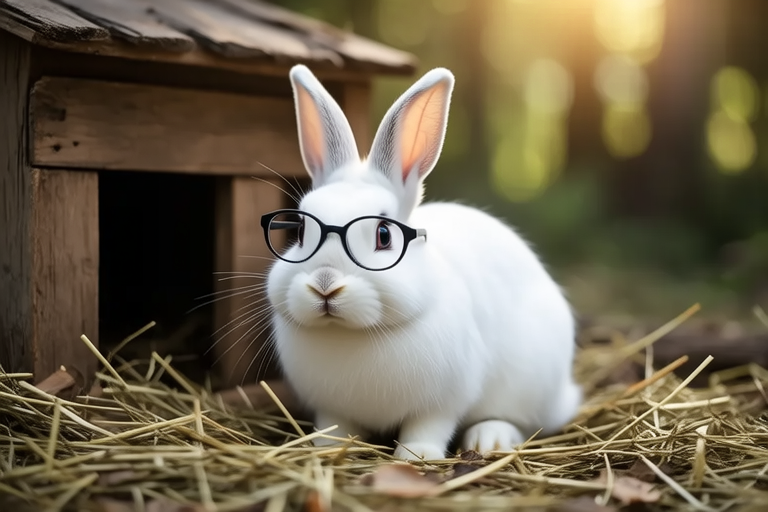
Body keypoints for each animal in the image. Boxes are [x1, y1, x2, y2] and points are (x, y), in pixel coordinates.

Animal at [263, 64, 582, 461]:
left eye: (384, 235)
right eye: (302, 230)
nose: (325, 284)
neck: (351, 335)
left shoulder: (443, 401)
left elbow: (428, 427)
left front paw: (417, 456)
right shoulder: (331, 408)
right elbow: (335, 425)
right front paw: (325, 448)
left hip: (529, 383)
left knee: (520, 421)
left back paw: (489, 438)